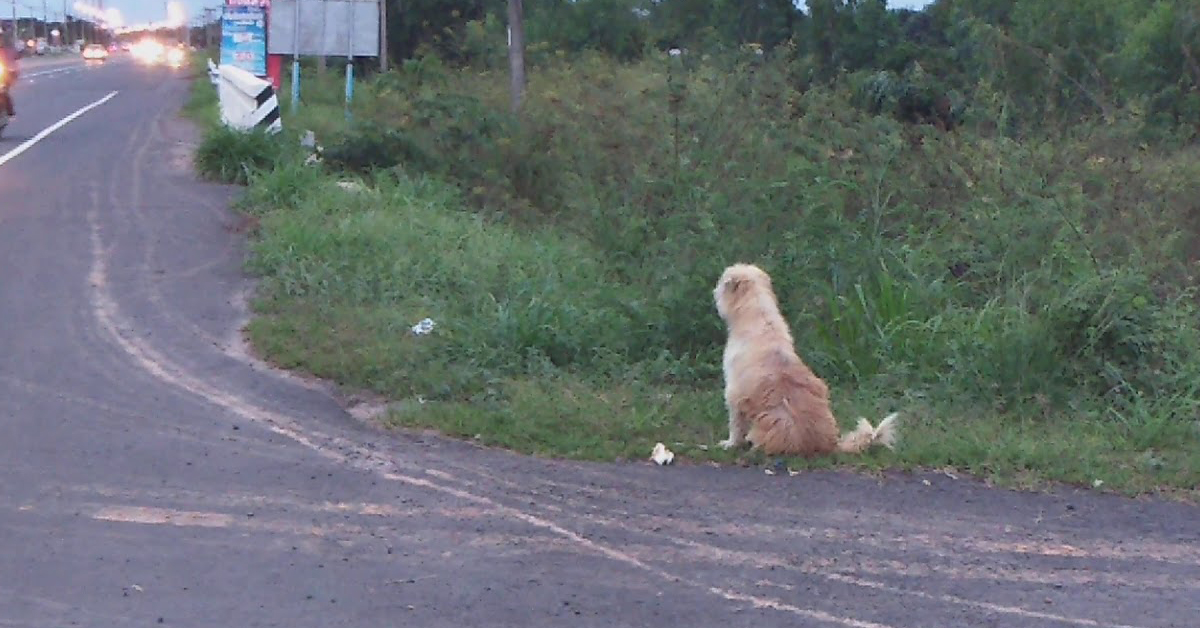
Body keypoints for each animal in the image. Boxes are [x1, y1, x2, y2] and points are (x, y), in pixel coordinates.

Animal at [705, 261, 897, 456]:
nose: (713, 290)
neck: (758, 314)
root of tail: (831, 444)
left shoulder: (734, 393)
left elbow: (735, 425)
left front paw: (730, 444)